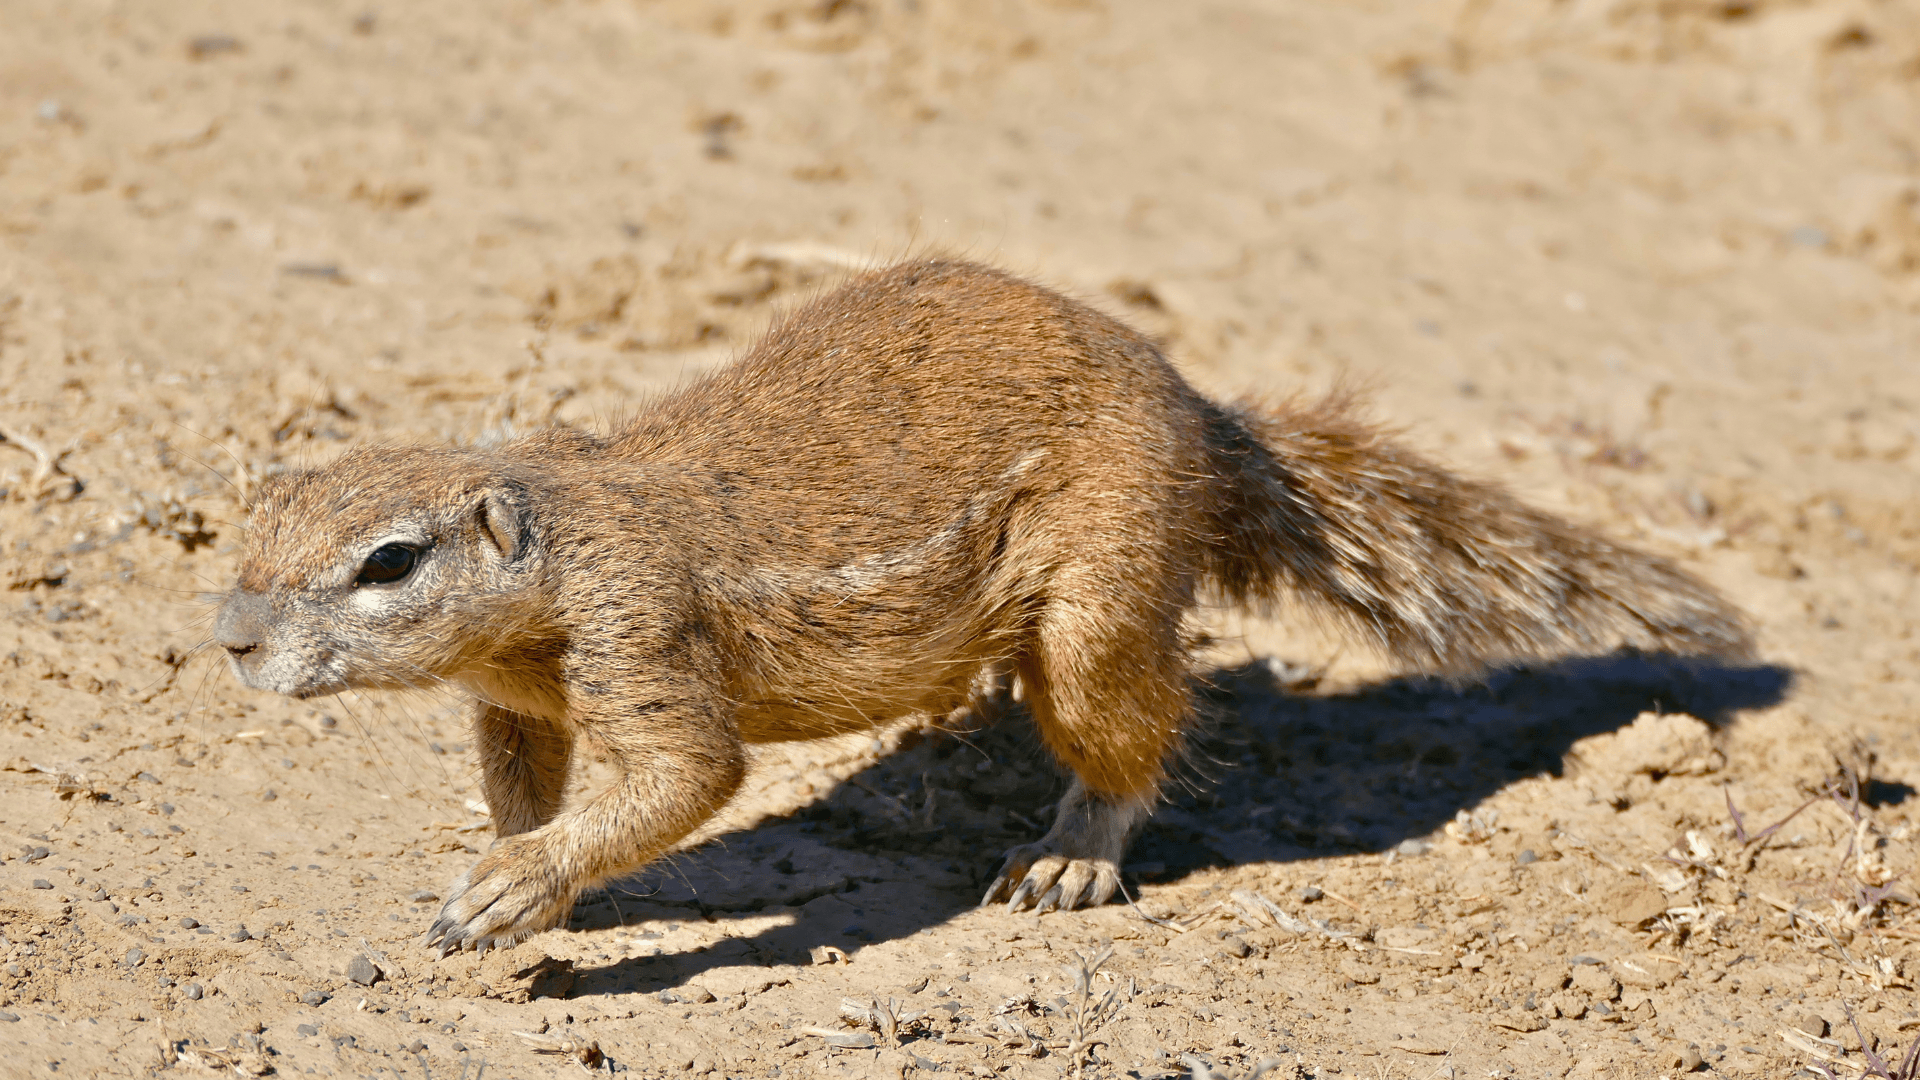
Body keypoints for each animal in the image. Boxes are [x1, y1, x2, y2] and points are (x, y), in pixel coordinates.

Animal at [214, 255, 1758, 945]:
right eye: (253, 515)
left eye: (388, 562)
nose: (227, 639)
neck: (553, 530)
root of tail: (1203, 416)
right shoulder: (513, 699)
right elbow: (526, 780)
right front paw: (522, 876)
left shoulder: (640, 627)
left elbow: (686, 775)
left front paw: (520, 883)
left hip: (1096, 602)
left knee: (1133, 730)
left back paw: (1070, 855)